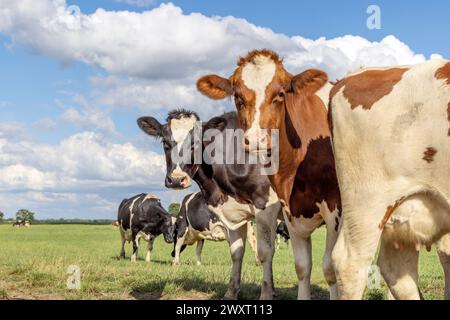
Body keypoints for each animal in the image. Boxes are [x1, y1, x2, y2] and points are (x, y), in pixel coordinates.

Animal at [139, 110, 284, 300]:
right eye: (164, 141)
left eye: (196, 142)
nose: (176, 179)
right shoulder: (235, 214)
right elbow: (237, 252)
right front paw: (231, 293)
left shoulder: (266, 207)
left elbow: (266, 252)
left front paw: (267, 294)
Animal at [197, 48, 342, 298]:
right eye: (237, 96)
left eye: (281, 94)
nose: (256, 140)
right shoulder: (290, 211)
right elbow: (303, 266)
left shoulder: (335, 211)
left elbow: (330, 267)